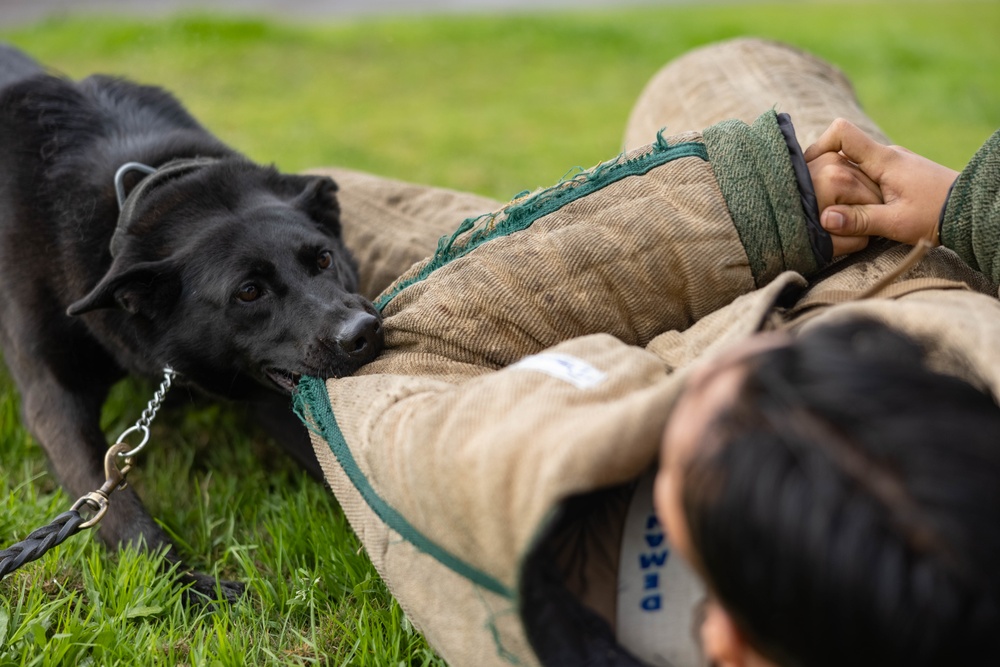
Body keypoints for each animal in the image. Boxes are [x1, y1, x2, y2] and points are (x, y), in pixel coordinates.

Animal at [0, 47, 384, 600]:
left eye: (324, 259)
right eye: (249, 291)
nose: (362, 334)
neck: (144, 191)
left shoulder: (260, 391)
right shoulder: (53, 398)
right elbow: (117, 512)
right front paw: (188, 589)